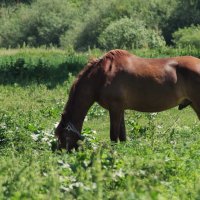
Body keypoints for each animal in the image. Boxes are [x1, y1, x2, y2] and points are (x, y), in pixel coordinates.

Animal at [54, 49, 200, 151]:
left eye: (63, 136)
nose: (61, 153)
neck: (102, 75)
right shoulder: (121, 109)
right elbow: (122, 136)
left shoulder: (115, 109)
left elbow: (113, 136)